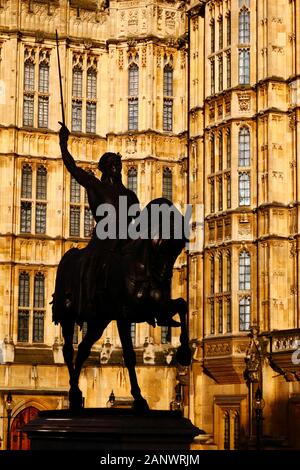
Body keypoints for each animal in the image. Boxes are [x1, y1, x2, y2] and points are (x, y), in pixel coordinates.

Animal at [52, 199, 191, 412]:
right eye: (162, 244)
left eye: (178, 248)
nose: (164, 278)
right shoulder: (124, 315)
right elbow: (129, 355)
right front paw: (139, 398)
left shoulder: (153, 307)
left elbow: (182, 305)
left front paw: (185, 351)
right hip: (68, 315)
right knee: (68, 350)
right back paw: (74, 393)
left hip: (99, 321)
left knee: (83, 348)